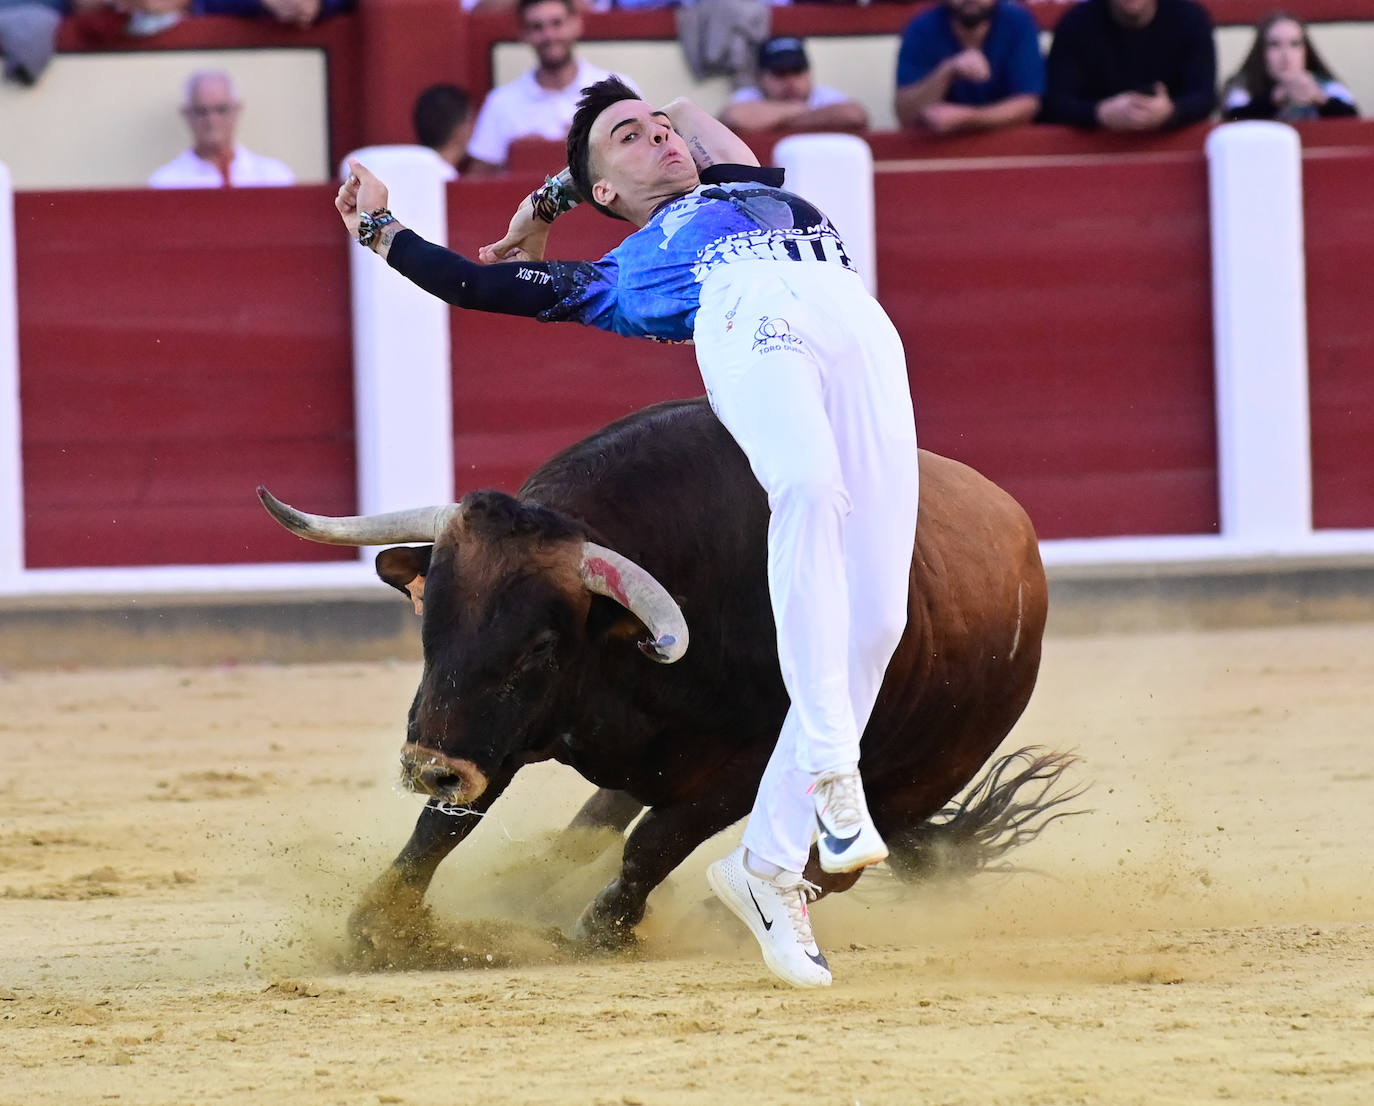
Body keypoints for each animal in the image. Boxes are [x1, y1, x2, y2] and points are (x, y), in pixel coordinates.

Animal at [255, 395, 1071, 956]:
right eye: (432, 619)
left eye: (542, 647)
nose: (427, 765)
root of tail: (1021, 543)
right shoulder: (496, 734)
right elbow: (445, 823)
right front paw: (380, 923)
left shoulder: (742, 770)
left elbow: (655, 841)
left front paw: (605, 928)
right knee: (596, 820)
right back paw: (530, 879)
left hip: (912, 781)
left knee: (829, 869)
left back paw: (733, 917)